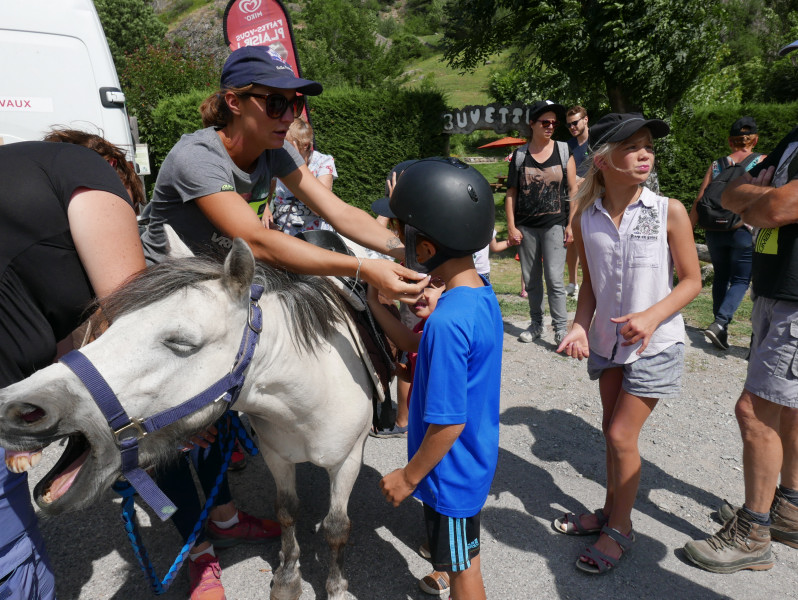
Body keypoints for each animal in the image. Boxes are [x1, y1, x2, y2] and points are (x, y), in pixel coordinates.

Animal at [0, 238, 376, 600]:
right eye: (110, 327)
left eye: (181, 343)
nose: (16, 409)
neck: (312, 393)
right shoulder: (276, 456)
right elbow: (286, 511)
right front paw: (287, 578)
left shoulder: (347, 460)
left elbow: (336, 528)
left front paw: (336, 588)